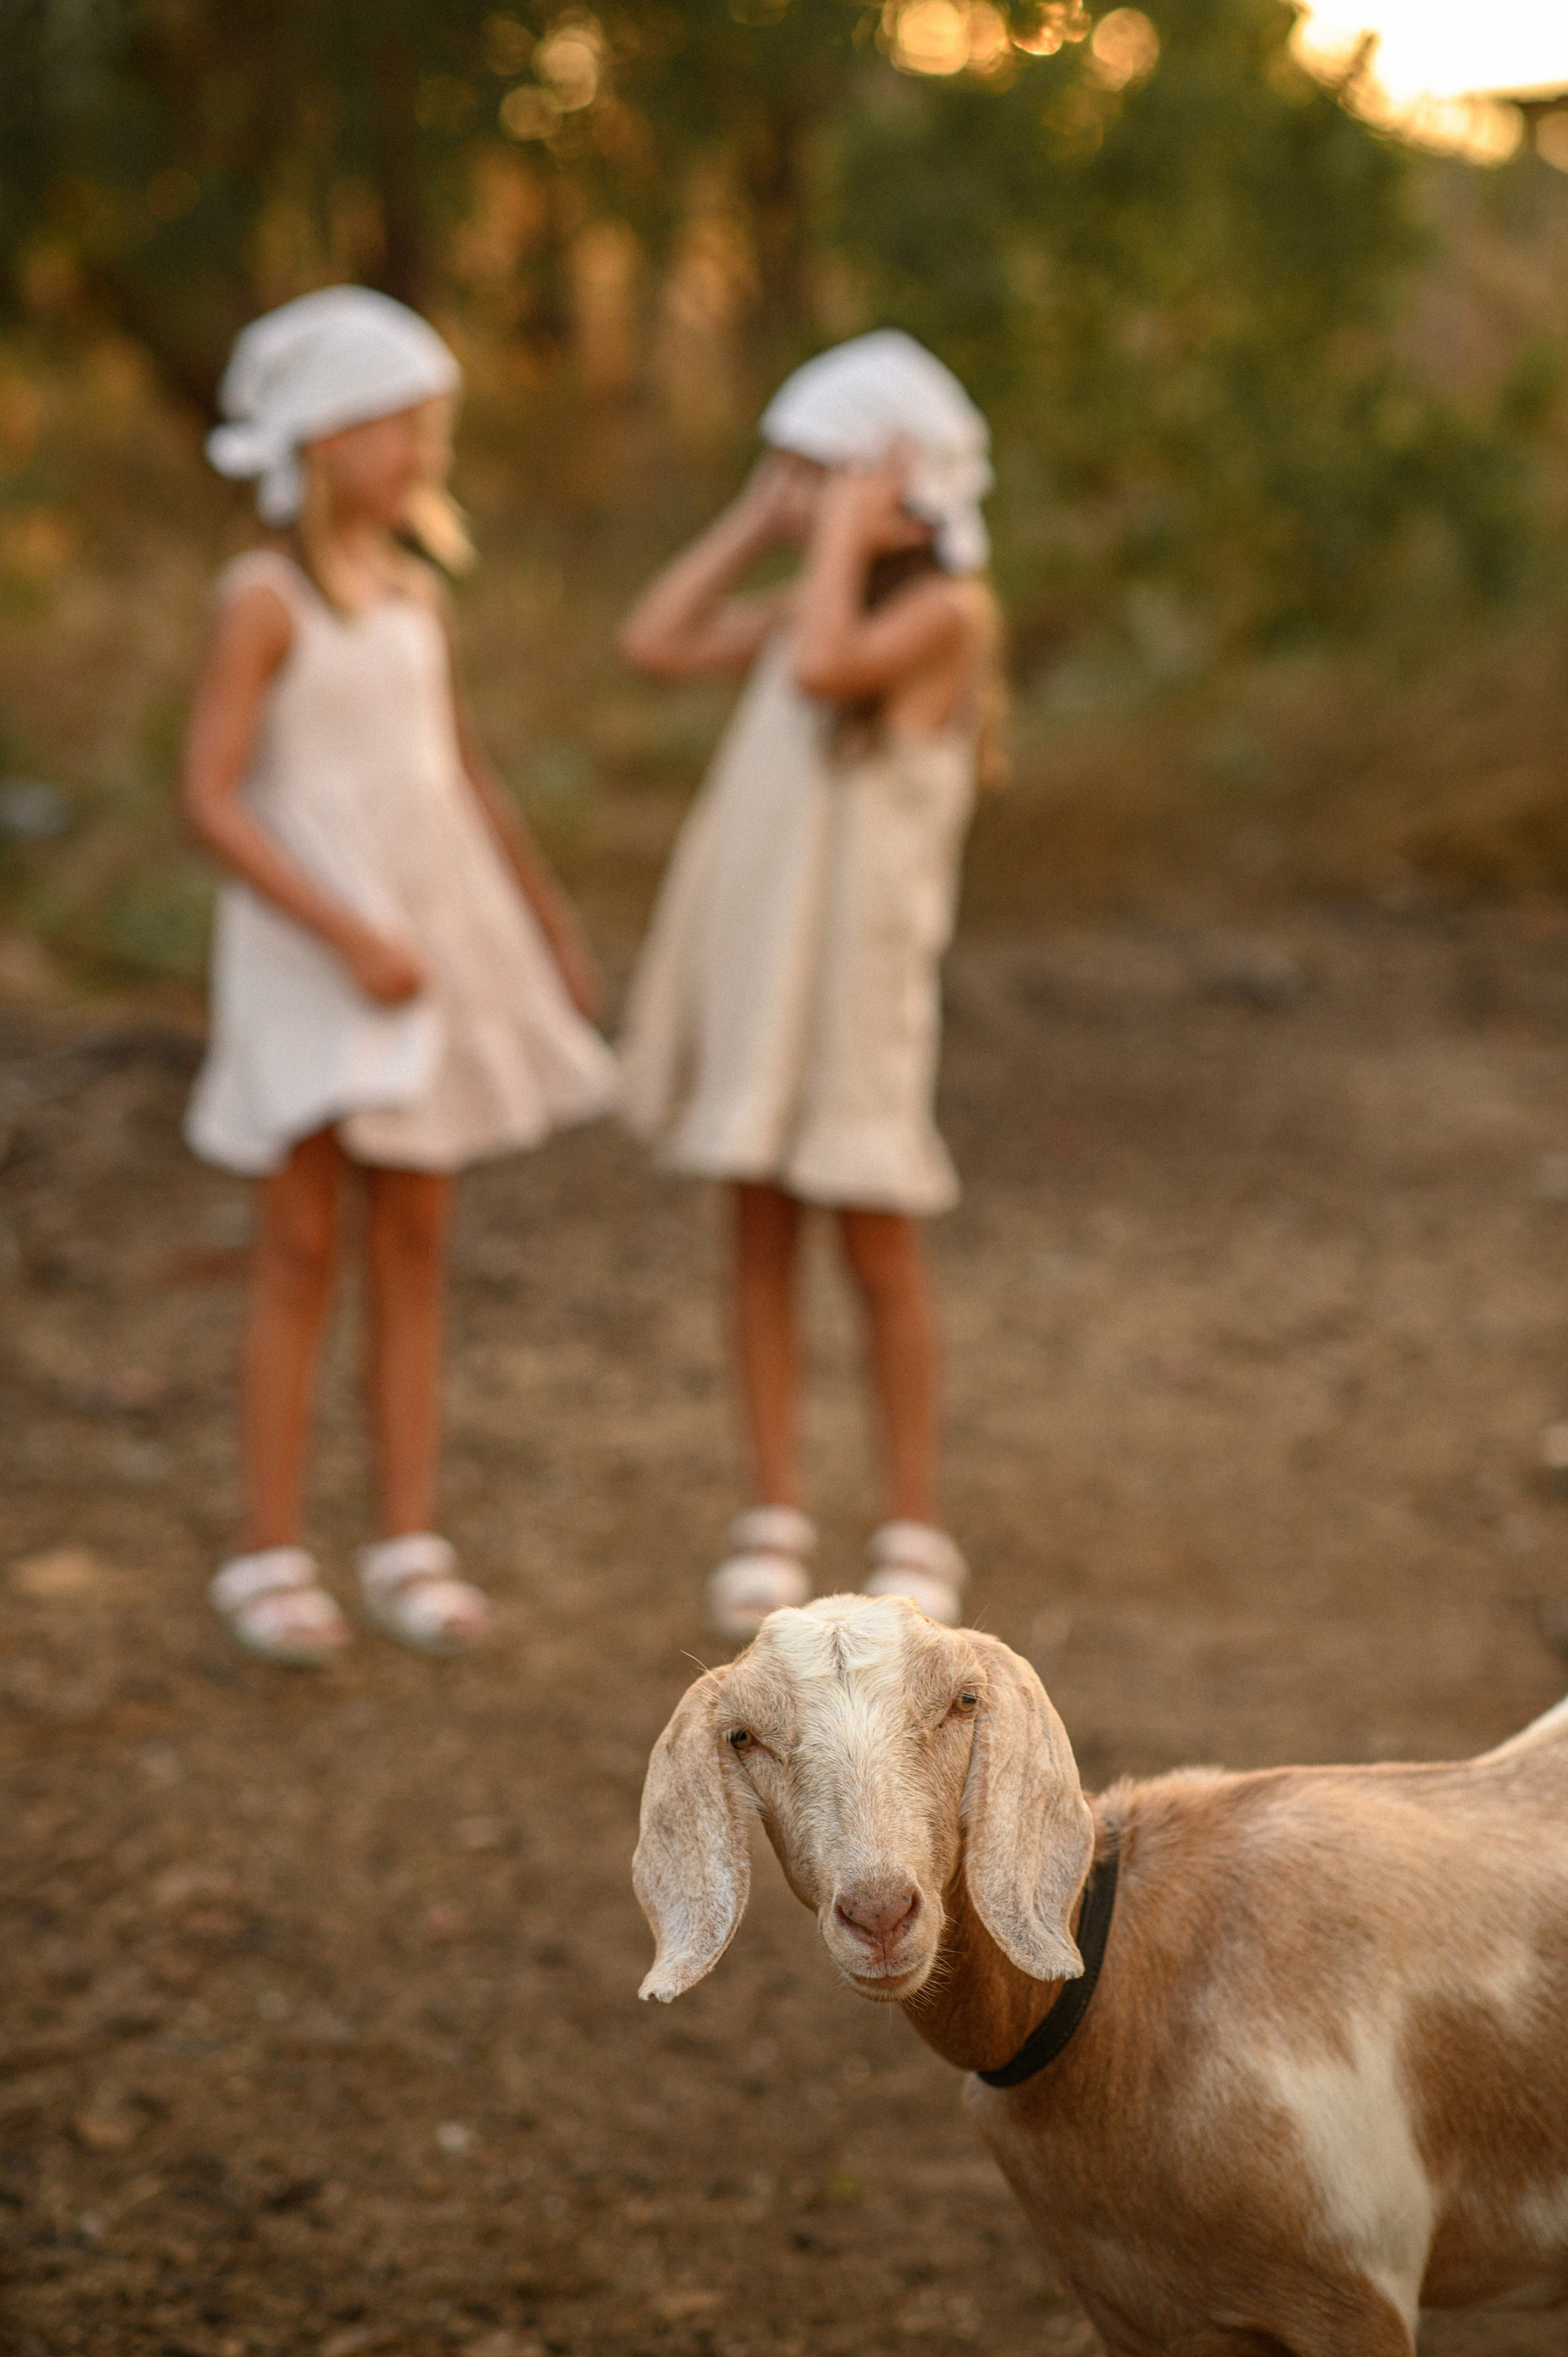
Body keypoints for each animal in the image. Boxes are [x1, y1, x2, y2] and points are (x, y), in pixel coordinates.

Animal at [634, 1593, 1568, 2357]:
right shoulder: (1139, 2313)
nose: (880, 1914)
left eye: (963, 1701)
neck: (1125, 1991)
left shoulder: (1356, 2300)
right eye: (743, 1737)